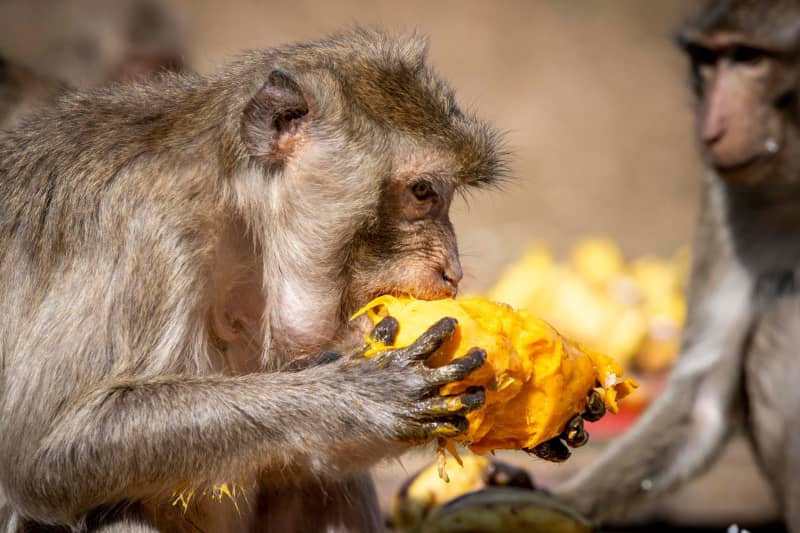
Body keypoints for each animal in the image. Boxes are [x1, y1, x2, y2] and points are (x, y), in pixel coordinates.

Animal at [0, 30, 504, 532]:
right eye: (422, 193)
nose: (453, 271)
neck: (239, 210)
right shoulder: (151, 231)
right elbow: (44, 454)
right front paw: (360, 395)